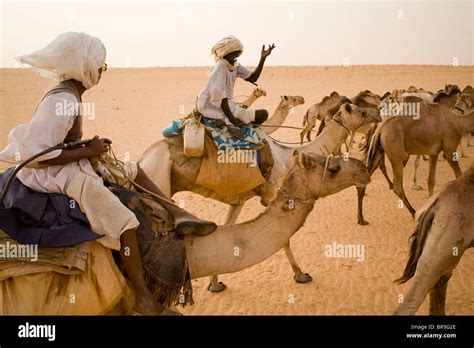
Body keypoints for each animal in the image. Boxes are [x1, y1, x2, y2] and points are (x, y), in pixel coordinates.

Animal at [138, 101, 382, 290]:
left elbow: (229, 227)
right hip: (158, 181)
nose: (378, 113)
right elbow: (284, 239)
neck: (286, 156)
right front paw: (301, 275)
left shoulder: (239, 199)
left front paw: (214, 282)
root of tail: (141, 160)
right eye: (361, 111)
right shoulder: (277, 193)